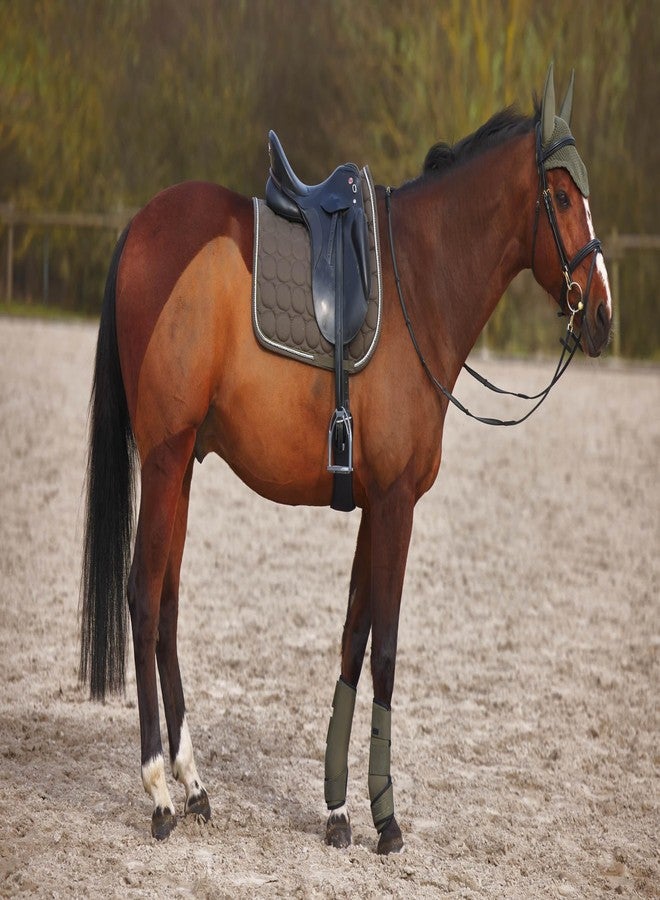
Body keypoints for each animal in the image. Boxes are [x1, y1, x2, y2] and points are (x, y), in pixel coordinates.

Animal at [80, 65, 612, 854]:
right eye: (564, 197)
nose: (603, 317)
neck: (422, 280)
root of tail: (143, 225)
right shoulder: (395, 504)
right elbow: (385, 647)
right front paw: (385, 818)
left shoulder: (375, 503)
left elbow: (352, 640)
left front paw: (337, 810)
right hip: (167, 457)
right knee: (145, 601)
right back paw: (159, 792)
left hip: (181, 469)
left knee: (168, 606)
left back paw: (195, 784)